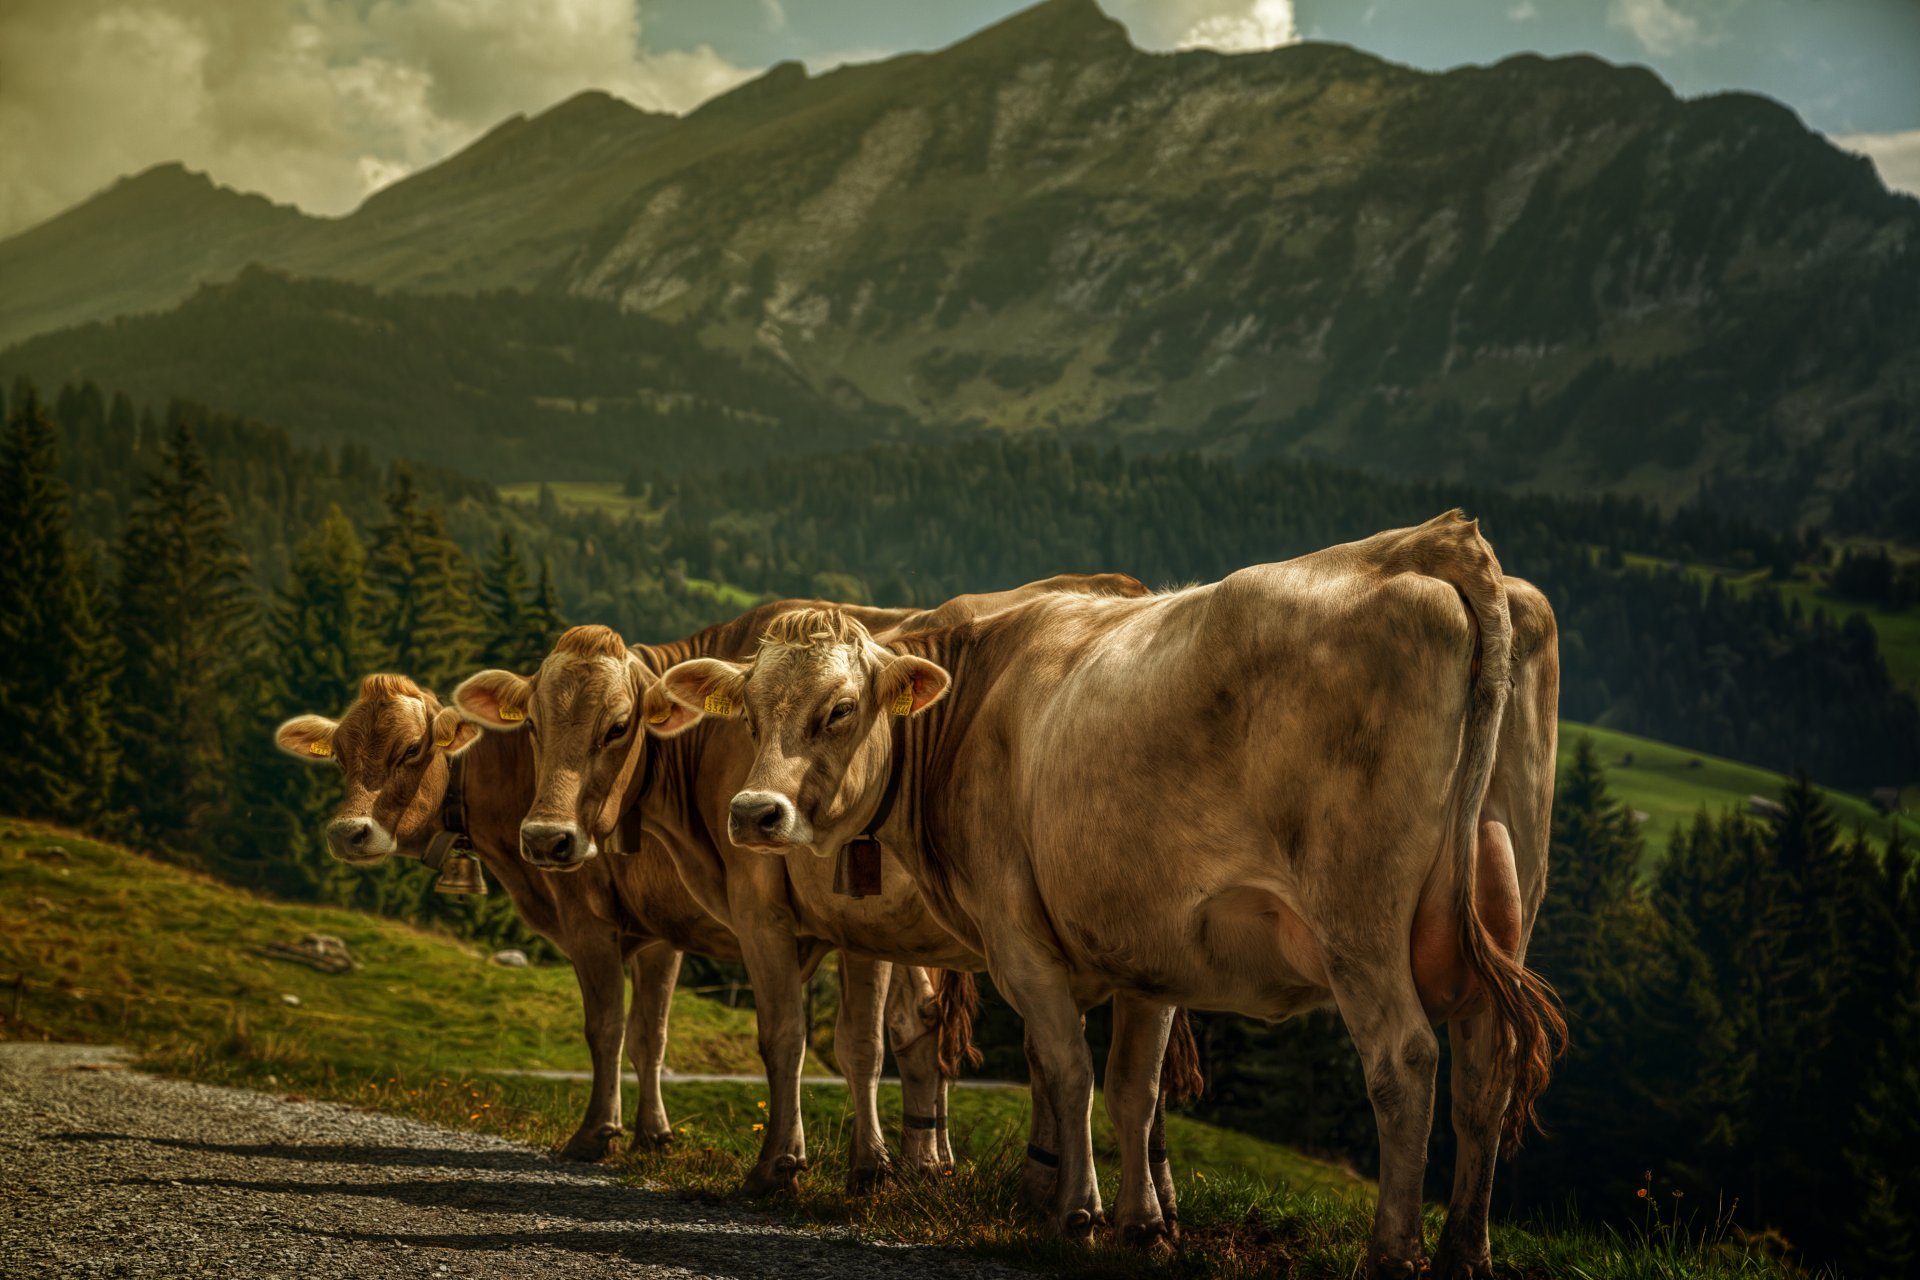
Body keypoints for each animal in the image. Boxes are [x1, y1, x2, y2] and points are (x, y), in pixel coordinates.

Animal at [273, 673, 960, 1181]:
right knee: (921, 1024)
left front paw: (597, 1133)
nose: (348, 832)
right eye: (340, 755)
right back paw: (928, 1163)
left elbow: (605, 1027)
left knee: (884, 1032)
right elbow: (649, 1035)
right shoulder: (659, 933)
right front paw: (654, 1135)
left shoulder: (589, 921)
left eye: (412, 750)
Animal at [451, 578, 1203, 1213]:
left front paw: (772, 1164)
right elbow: (858, 1045)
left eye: (617, 726)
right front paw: (870, 1169)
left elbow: (770, 1035)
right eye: (534, 726)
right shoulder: (855, 925)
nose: (547, 838)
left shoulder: (747, 908)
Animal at [654, 513, 1564, 1279]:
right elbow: (1132, 1088)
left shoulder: (1019, 938)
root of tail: (1432, 541)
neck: (976, 703)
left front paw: (1076, 1215)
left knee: (1404, 1061)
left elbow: (1067, 1069)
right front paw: (1140, 1224)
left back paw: (1392, 1254)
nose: (753, 812)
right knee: (1485, 1067)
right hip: (1505, 901)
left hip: (1360, 922)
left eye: (840, 710)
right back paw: (1464, 1252)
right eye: (749, 715)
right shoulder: (1150, 944)